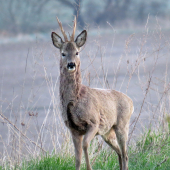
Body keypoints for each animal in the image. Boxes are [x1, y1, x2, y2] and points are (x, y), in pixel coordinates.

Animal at [51, 16, 133, 170]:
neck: (76, 99)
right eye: (63, 53)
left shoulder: (93, 122)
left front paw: (89, 168)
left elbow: (85, 146)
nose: (71, 64)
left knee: (125, 154)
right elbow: (77, 158)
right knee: (119, 153)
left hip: (122, 124)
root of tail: (131, 102)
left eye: (77, 52)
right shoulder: (73, 129)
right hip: (107, 132)